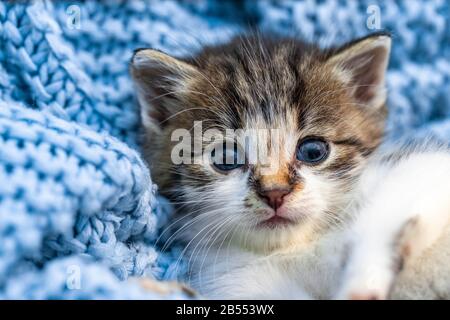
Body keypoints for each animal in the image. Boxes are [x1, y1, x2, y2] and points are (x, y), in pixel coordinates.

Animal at [130, 33, 450, 298]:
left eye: (312, 151)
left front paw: (361, 286)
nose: (275, 193)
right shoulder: (237, 281)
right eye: (225, 158)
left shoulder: (423, 170)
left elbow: (382, 218)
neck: (297, 246)